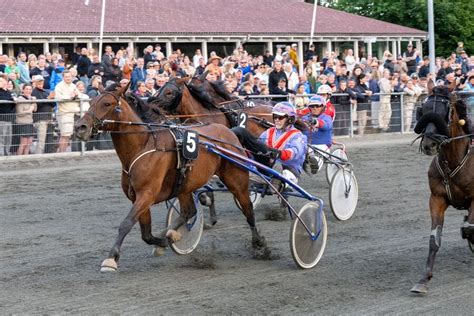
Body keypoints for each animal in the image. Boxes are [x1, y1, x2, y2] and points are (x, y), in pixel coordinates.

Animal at [72, 82, 268, 270]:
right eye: (91, 102)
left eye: (107, 104)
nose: (80, 127)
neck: (142, 145)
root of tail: (230, 131)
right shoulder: (138, 197)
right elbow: (146, 234)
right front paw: (164, 241)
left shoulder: (146, 194)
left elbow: (126, 224)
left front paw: (111, 258)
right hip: (185, 185)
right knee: (189, 211)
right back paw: (172, 233)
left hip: (236, 179)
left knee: (248, 209)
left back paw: (259, 244)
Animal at [410, 82, 472, 294]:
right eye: (425, 109)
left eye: (446, 111)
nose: (429, 144)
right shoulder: (437, 198)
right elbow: (434, 239)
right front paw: (423, 279)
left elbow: (470, 228)